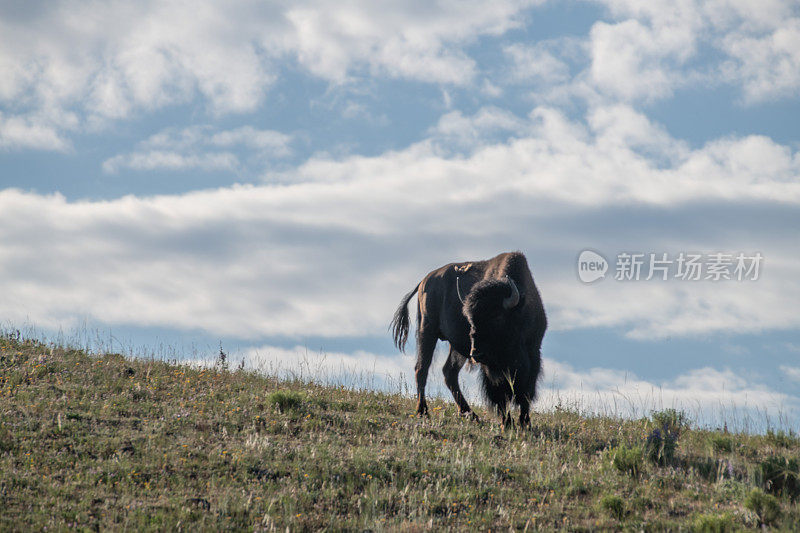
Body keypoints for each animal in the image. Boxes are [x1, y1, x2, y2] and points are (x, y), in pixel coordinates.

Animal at [390, 250, 548, 428]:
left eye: (497, 317)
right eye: (470, 319)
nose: (476, 354)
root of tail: (424, 281)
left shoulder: (533, 353)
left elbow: (526, 391)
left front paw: (524, 422)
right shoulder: (491, 367)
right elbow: (499, 392)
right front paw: (506, 422)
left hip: (455, 348)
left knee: (449, 372)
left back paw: (470, 414)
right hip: (427, 331)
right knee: (422, 368)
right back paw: (423, 411)